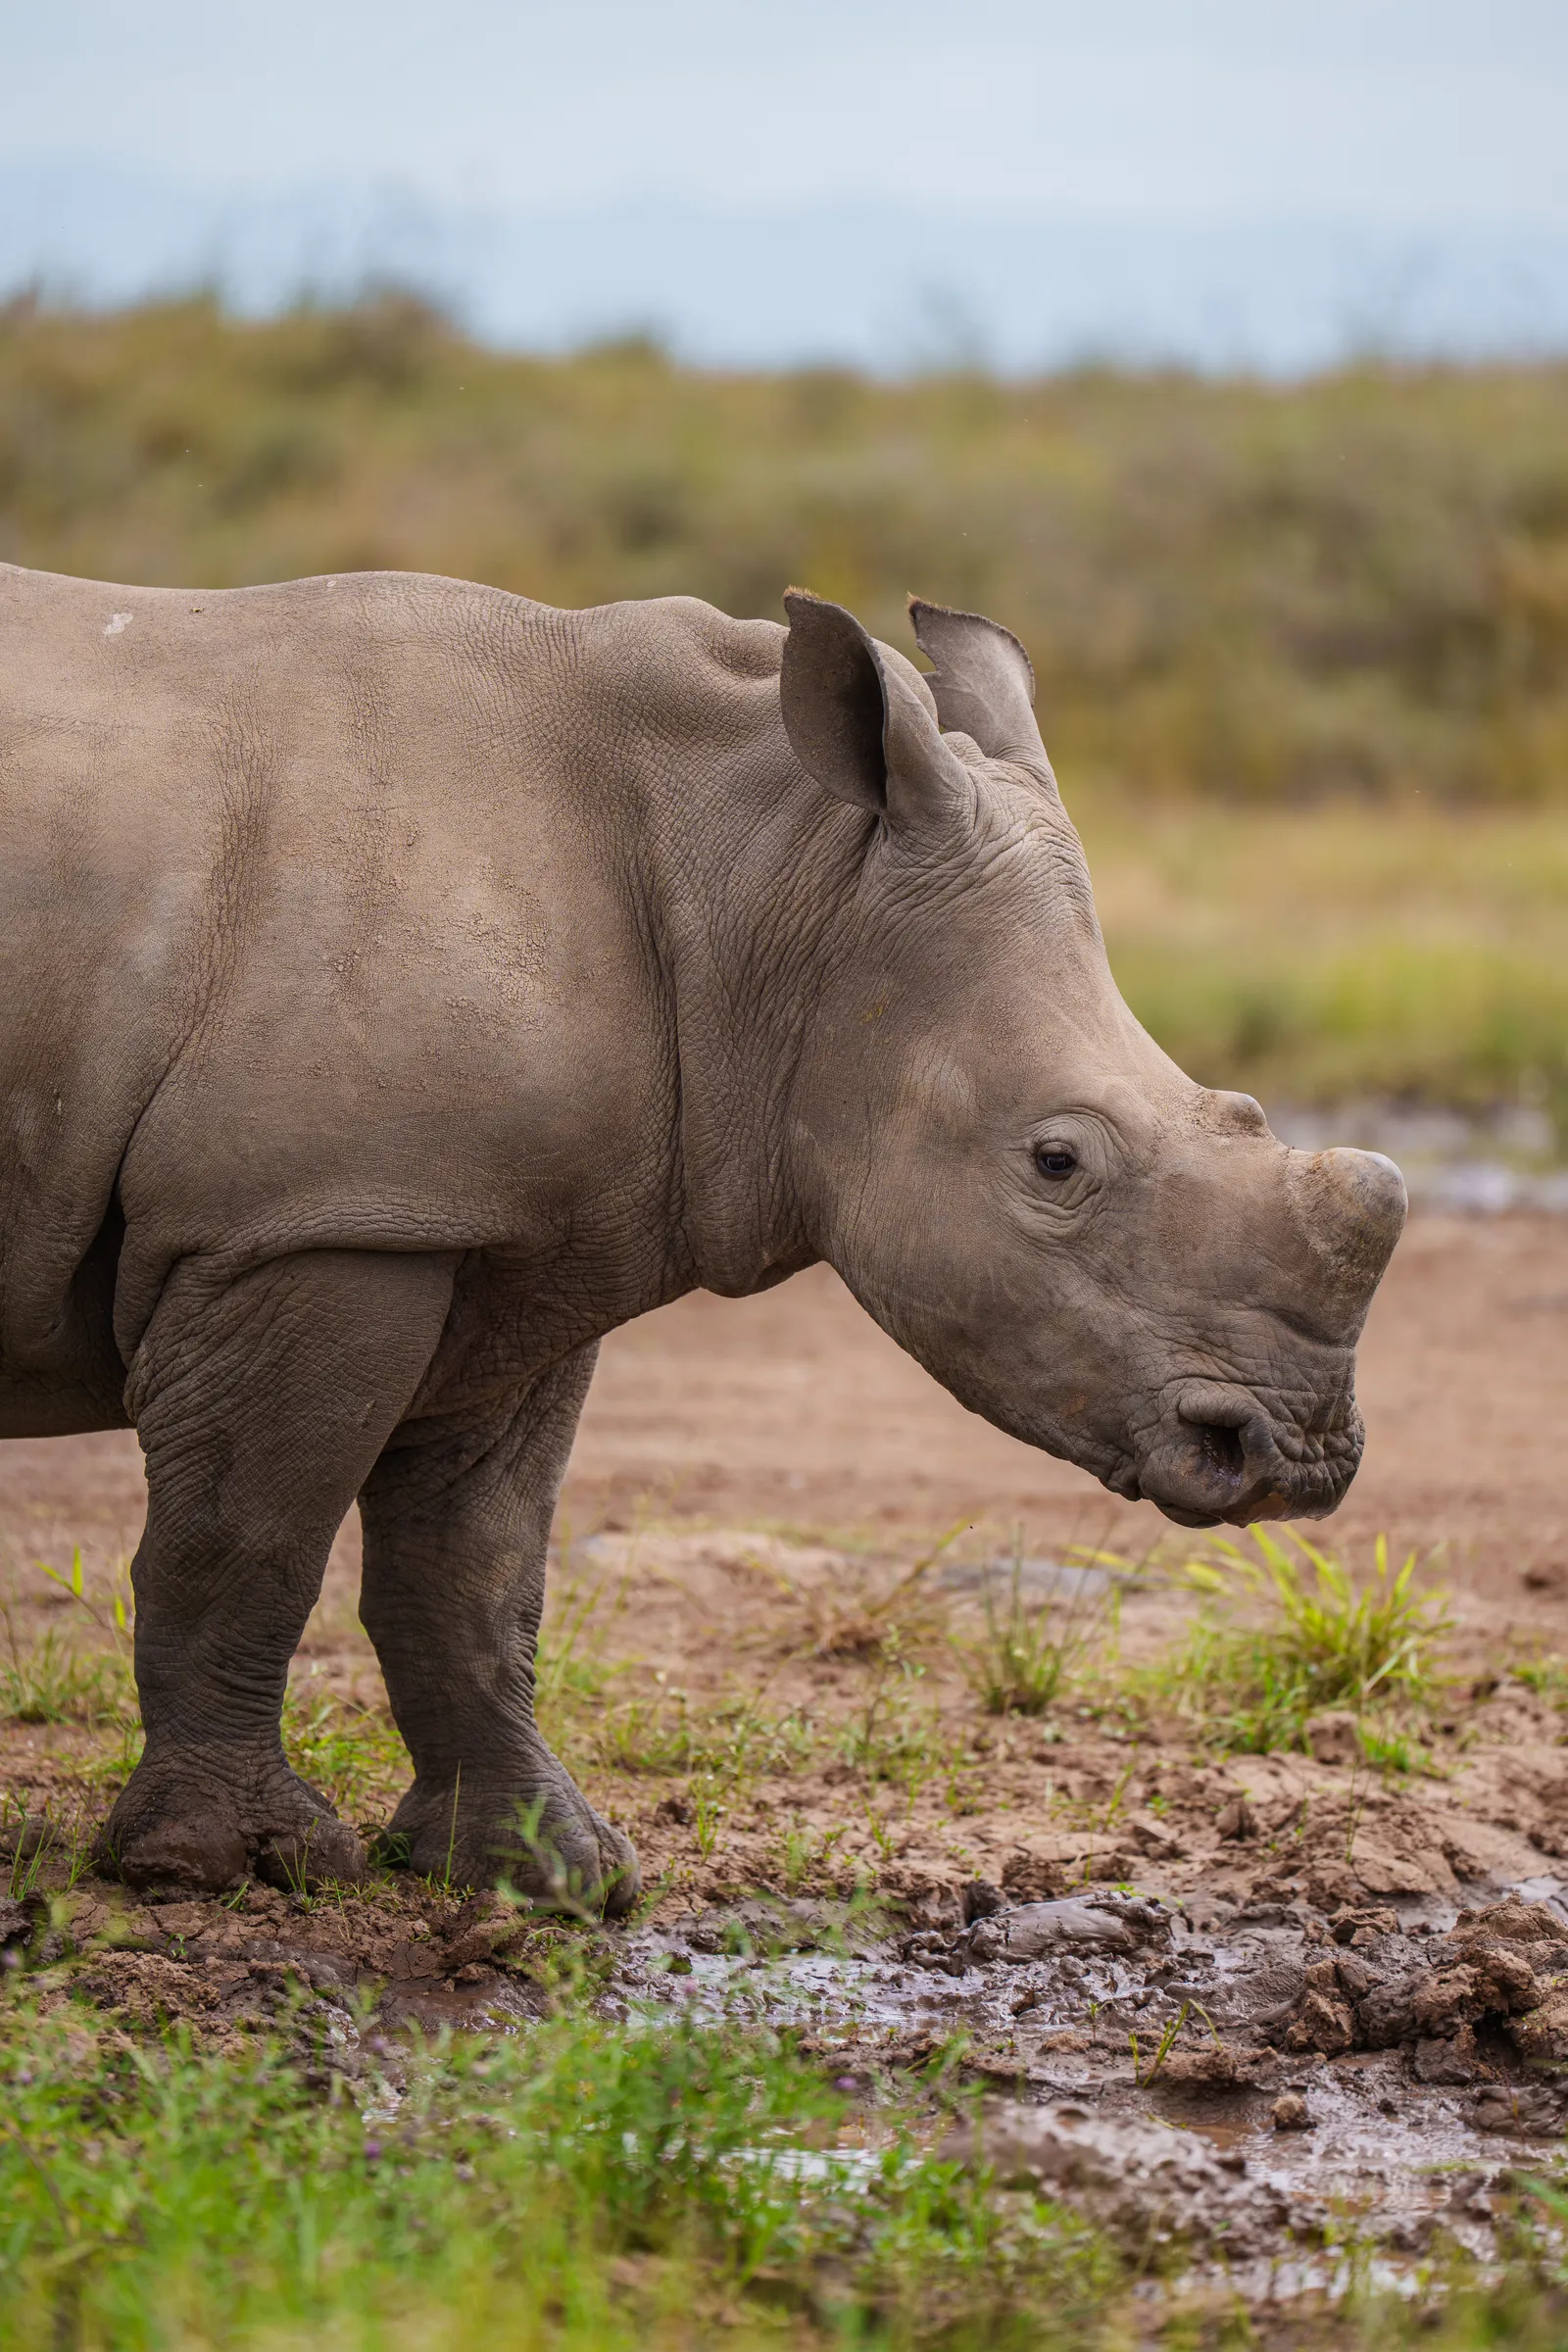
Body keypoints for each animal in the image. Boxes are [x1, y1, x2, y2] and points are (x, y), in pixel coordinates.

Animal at [0, 562, 1405, 1904]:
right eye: (1056, 1163)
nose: (1295, 1459)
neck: (768, 879)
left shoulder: (497, 1230)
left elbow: (477, 1570)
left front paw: (550, 1877)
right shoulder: (314, 1217)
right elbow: (247, 1541)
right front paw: (225, 1869)